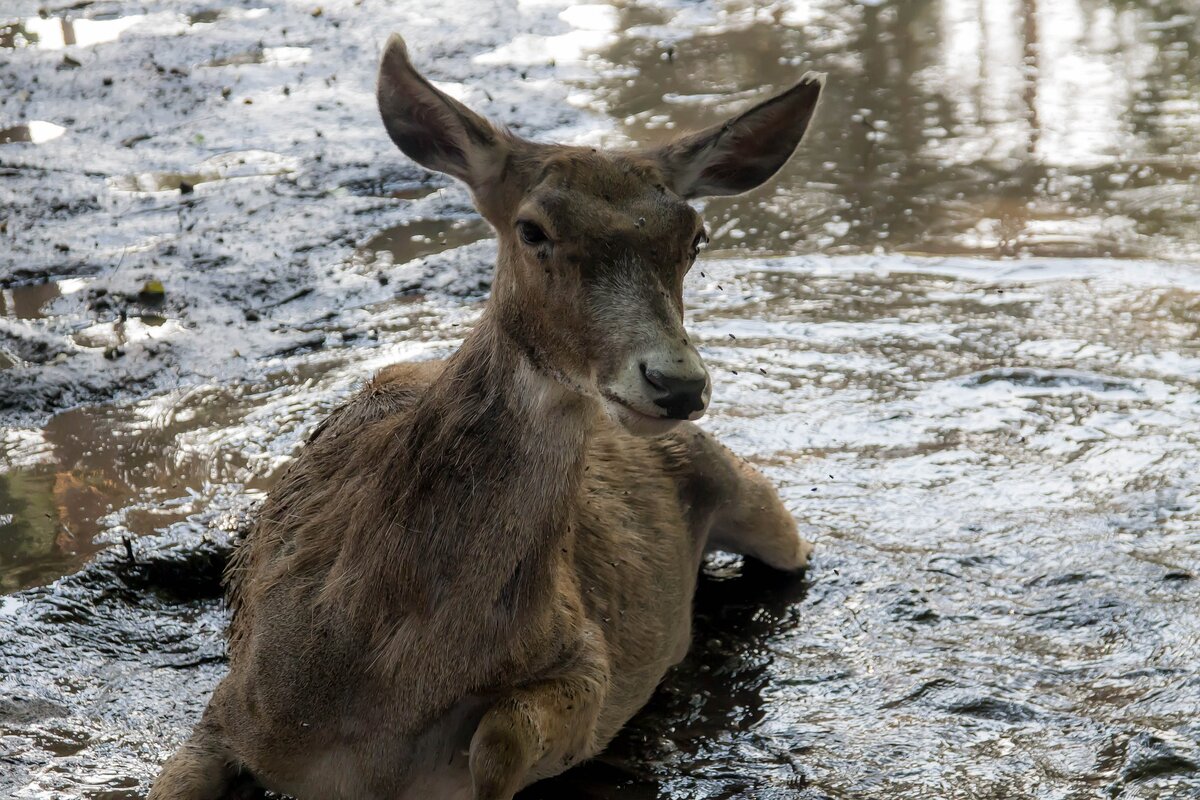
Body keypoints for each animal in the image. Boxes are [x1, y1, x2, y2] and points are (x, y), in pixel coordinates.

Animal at [147, 32, 825, 800]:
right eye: (532, 229)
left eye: (695, 235)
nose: (676, 383)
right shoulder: (232, 704)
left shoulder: (585, 654)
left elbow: (505, 736)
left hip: (750, 493)